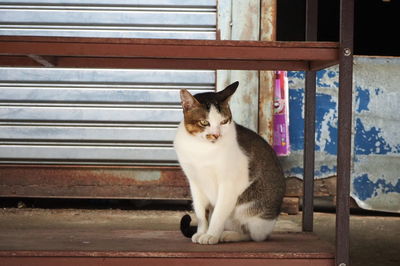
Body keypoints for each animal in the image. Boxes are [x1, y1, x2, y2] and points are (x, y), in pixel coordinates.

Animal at [174, 81, 284, 245]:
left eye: (224, 122)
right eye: (204, 122)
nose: (216, 135)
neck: (202, 150)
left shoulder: (229, 184)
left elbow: (218, 214)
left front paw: (211, 235)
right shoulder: (195, 182)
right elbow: (201, 214)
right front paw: (202, 232)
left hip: (251, 211)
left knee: (252, 235)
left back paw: (227, 235)